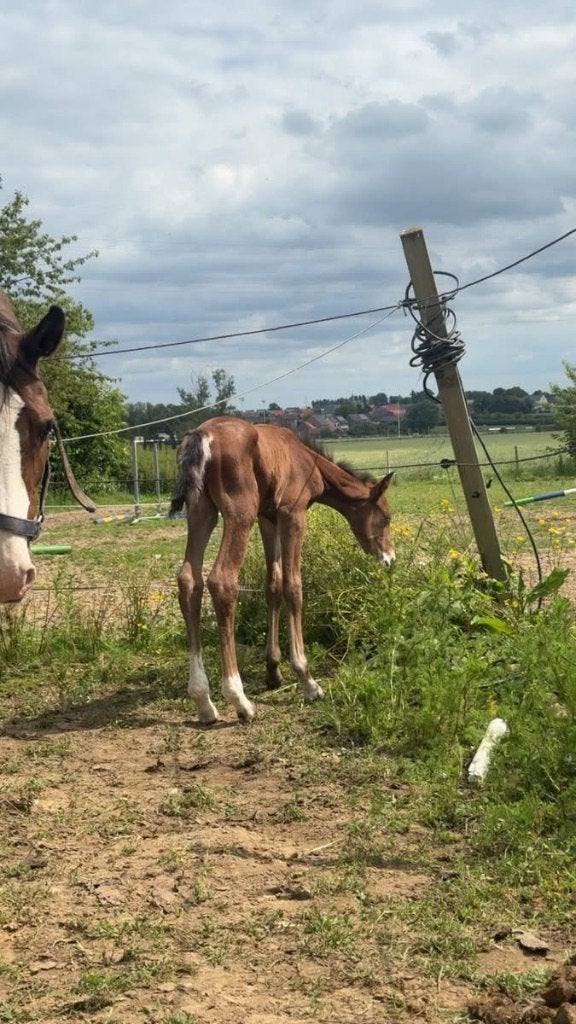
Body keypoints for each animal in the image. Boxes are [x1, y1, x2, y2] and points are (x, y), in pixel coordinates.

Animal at [170, 416, 394, 724]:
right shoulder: (292, 514)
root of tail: (203, 435)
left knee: (189, 582)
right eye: (386, 517)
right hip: (240, 513)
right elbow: (293, 585)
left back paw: (203, 701)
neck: (307, 461)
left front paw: (273, 669)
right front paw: (307, 680)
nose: (390, 559)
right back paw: (240, 700)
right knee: (222, 581)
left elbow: (273, 584)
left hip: (201, 512)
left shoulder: (269, 518)